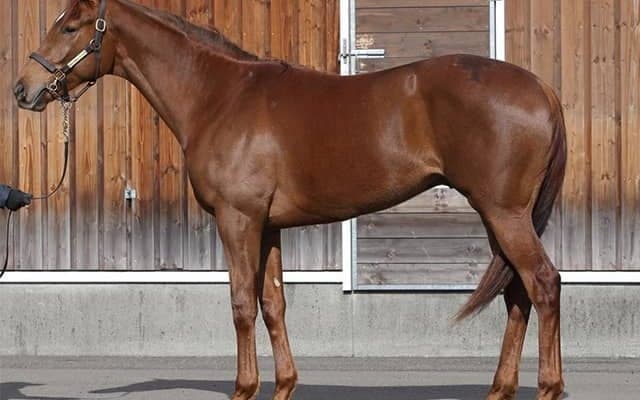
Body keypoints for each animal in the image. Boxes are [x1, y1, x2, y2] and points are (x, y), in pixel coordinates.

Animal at [14, 1, 567, 399]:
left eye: (70, 27)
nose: (24, 88)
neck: (219, 97)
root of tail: (541, 88)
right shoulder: (269, 226)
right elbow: (274, 305)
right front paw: (282, 385)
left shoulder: (237, 220)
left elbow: (241, 303)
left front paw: (243, 388)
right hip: (499, 217)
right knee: (518, 293)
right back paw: (500, 388)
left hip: (504, 214)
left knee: (543, 284)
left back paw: (549, 386)